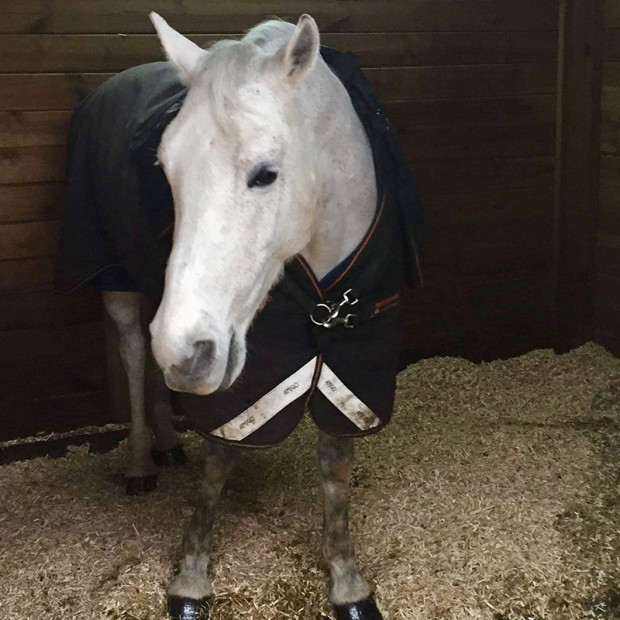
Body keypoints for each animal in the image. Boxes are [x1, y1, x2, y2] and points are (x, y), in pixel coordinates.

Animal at [103, 12, 382, 620]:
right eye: (165, 169)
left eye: (266, 174)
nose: (185, 352)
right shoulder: (247, 380)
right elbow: (219, 460)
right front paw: (191, 577)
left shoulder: (357, 355)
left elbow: (336, 466)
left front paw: (348, 582)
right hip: (117, 283)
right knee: (134, 355)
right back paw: (140, 463)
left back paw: (167, 443)